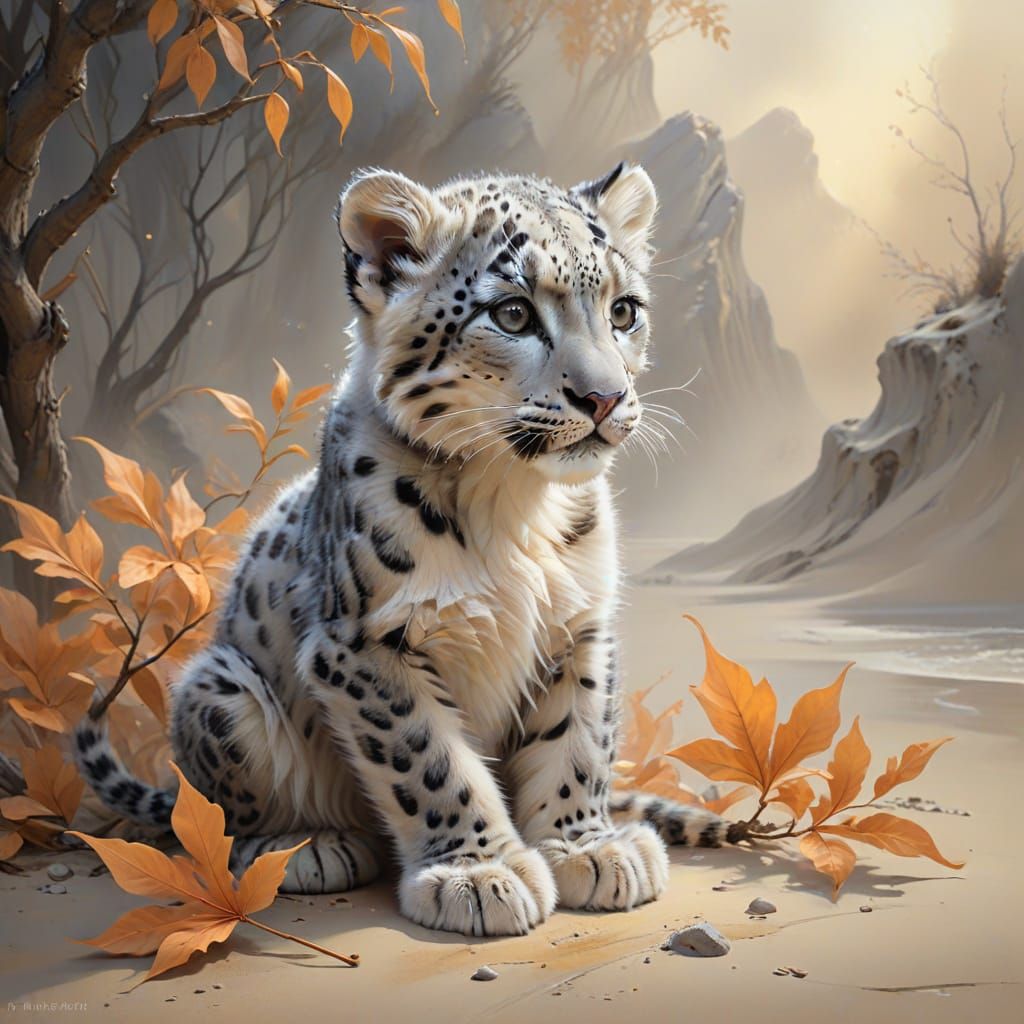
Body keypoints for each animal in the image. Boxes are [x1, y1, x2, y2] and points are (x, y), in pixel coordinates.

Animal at [74, 162, 733, 937]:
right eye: (513, 314)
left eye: (624, 311)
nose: (604, 398)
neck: (513, 505)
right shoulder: (367, 641)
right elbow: (431, 760)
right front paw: (480, 874)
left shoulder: (578, 628)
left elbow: (577, 741)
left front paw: (586, 848)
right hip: (221, 690)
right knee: (226, 813)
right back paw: (307, 846)